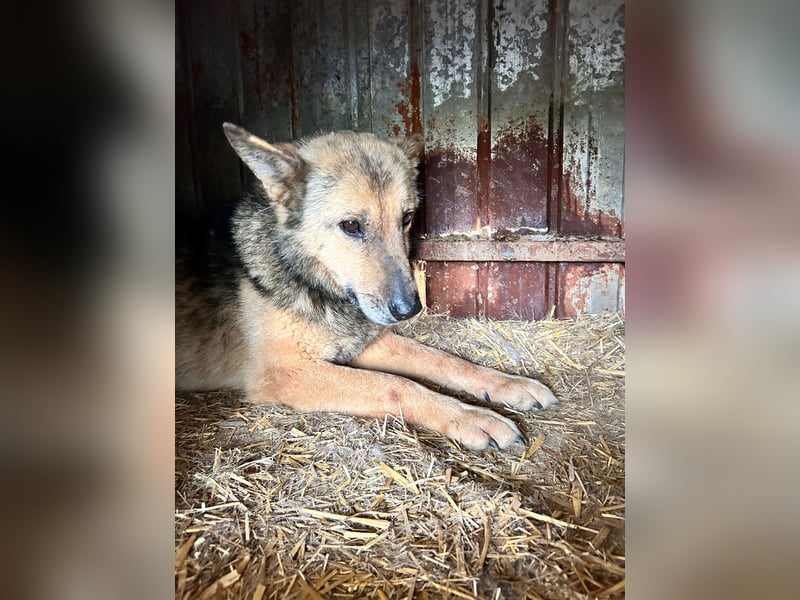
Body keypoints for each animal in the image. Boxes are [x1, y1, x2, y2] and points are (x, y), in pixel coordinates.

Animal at [176, 123, 559, 451]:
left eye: (406, 218)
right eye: (351, 225)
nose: (410, 309)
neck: (311, 280)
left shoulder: (359, 343)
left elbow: (444, 360)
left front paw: (507, 384)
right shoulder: (283, 372)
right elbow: (395, 385)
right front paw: (470, 416)